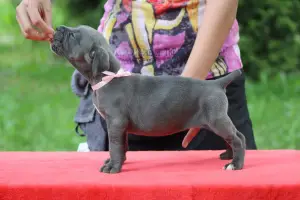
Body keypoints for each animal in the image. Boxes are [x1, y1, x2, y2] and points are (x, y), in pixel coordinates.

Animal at [51, 24, 246, 173]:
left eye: (73, 35)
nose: (59, 28)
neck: (107, 77)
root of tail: (218, 84)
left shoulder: (115, 122)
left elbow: (115, 146)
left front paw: (113, 167)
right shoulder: (121, 127)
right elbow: (122, 146)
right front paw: (117, 162)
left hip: (216, 119)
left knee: (238, 138)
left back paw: (235, 164)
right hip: (215, 121)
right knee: (232, 137)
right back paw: (228, 156)